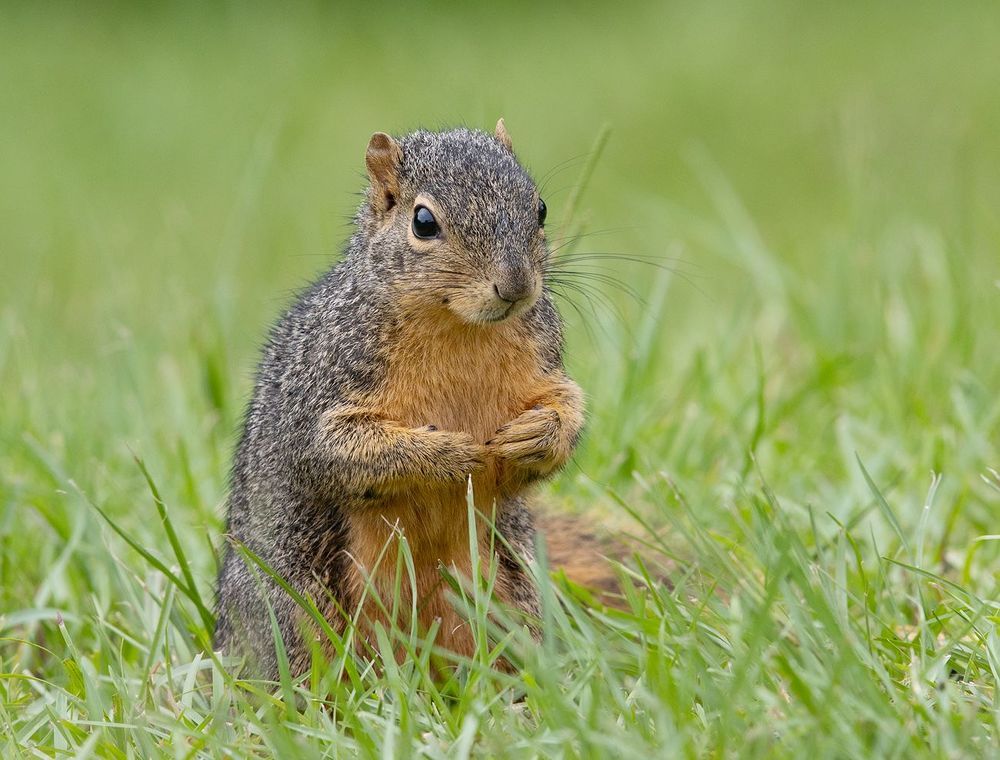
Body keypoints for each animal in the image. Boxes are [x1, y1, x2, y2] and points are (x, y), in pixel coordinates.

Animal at [214, 120, 618, 679]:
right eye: (423, 222)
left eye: (539, 208)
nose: (515, 286)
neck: (459, 328)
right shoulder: (321, 388)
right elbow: (337, 451)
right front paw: (447, 453)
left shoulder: (545, 364)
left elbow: (565, 408)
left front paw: (537, 435)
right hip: (293, 610)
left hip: (512, 593)